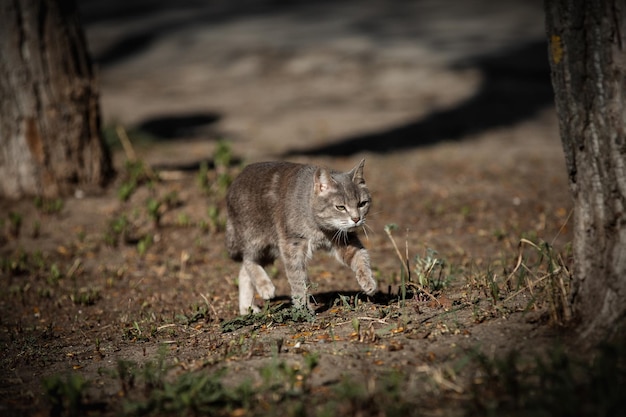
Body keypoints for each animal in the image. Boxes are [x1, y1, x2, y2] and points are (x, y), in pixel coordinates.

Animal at [225, 158, 376, 312]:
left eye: (362, 204)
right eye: (340, 207)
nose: (356, 219)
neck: (320, 229)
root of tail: (236, 179)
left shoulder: (344, 240)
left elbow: (361, 258)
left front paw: (368, 282)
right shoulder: (292, 245)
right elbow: (297, 278)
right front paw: (302, 308)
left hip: (270, 250)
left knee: (243, 271)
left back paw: (247, 309)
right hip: (256, 240)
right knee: (247, 260)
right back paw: (265, 287)